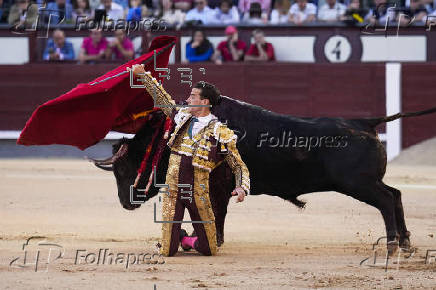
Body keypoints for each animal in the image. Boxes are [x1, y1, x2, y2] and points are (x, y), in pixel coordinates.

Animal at [89, 96, 436, 253]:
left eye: (124, 168)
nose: (125, 202)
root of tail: (365, 122)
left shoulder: (220, 185)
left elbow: (217, 212)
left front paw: (216, 241)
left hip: (358, 184)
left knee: (386, 200)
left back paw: (392, 244)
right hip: (365, 182)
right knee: (396, 194)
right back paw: (406, 242)